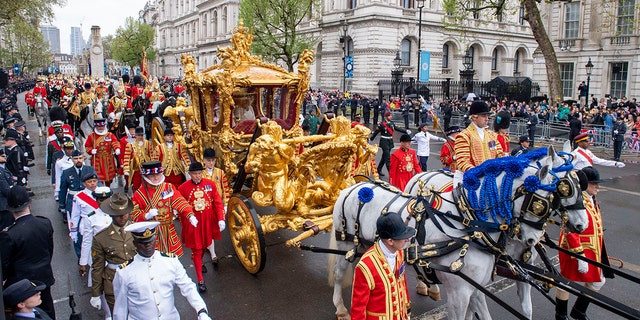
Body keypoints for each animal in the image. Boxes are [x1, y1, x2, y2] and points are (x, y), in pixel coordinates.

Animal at [330, 148, 560, 320]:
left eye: (555, 198)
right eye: (539, 203)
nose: (533, 240)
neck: (468, 228)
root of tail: (355, 186)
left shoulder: (477, 288)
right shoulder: (460, 292)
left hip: (363, 245)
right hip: (346, 244)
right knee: (339, 273)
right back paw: (341, 308)